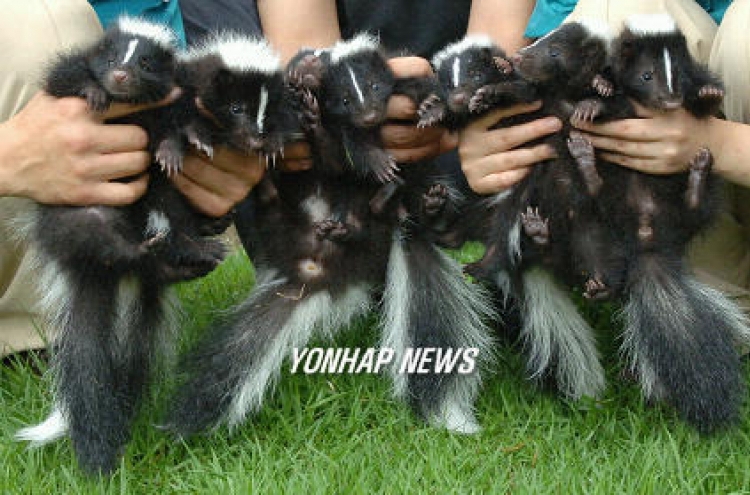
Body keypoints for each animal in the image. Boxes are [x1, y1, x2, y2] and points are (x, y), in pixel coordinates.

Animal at [576, 14, 748, 434]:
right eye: (647, 74)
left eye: (679, 74)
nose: (670, 100)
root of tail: (649, 239)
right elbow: (602, 93)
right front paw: (595, 95)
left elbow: (707, 95)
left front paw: (707, 94)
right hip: (610, 207)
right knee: (597, 190)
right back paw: (585, 160)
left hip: (689, 207)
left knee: (698, 205)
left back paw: (699, 175)